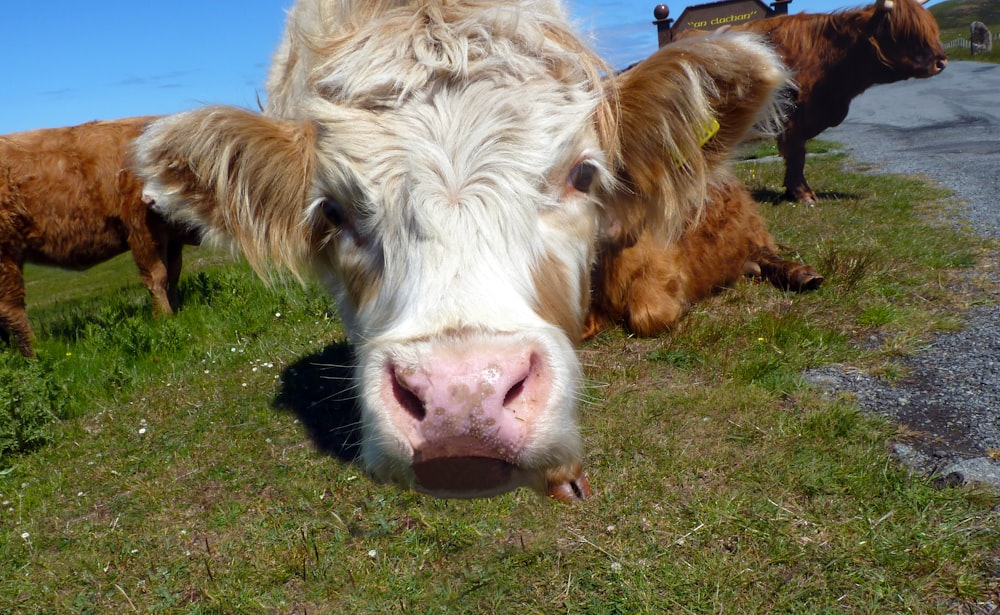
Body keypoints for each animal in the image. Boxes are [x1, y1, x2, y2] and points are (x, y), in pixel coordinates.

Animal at [0, 116, 199, 356]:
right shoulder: (142, 231)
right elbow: (157, 276)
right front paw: (165, 318)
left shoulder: (172, 239)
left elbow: (174, 273)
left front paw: (177, 308)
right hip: (6, 258)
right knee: (11, 308)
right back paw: (36, 352)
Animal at [736, 0, 944, 205]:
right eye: (906, 33)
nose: (941, 62)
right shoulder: (793, 118)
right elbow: (796, 155)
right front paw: (803, 194)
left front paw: (792, 192)